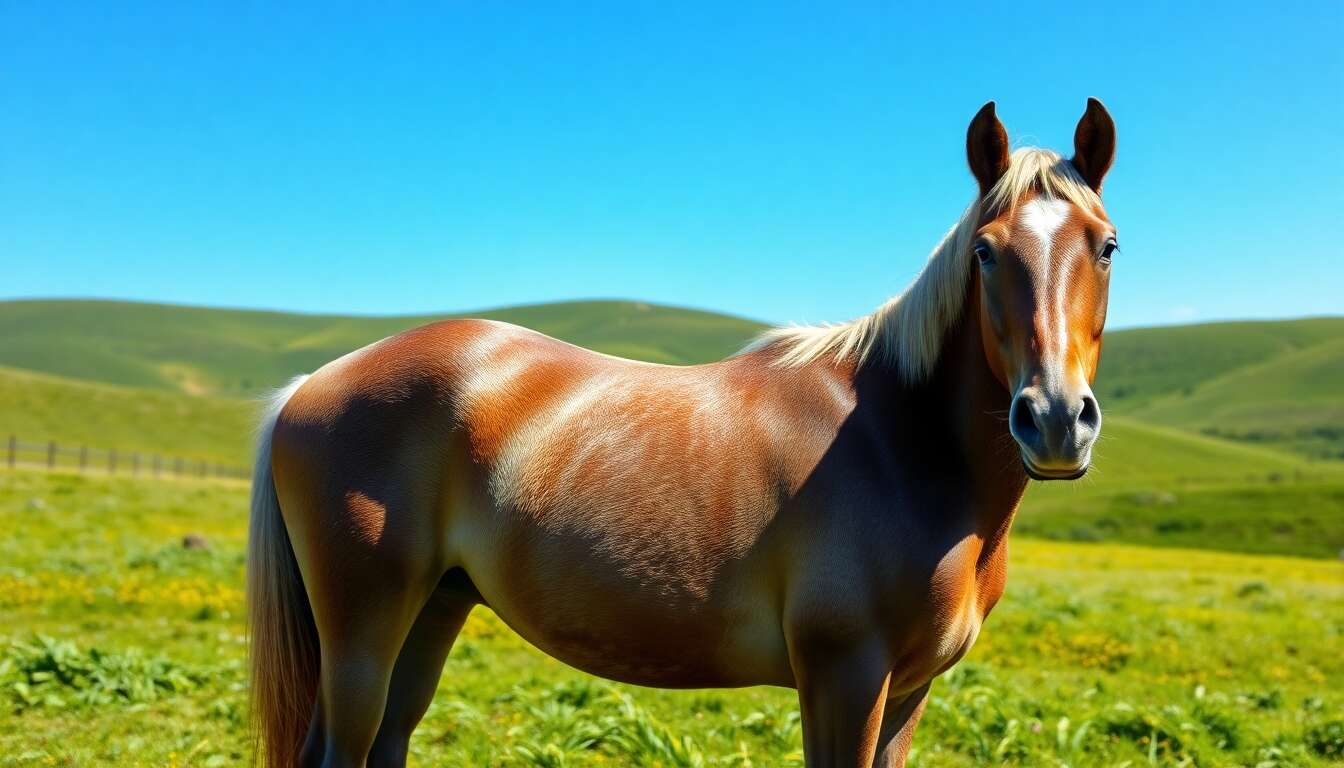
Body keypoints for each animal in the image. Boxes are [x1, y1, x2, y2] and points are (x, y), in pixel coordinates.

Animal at [248, 99, 1117, 767]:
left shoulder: (908, 690)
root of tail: (308, 386)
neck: (898, 446)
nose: (1054, 420)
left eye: (1106, 247)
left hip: (434, 610)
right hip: (363, 631)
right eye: (985, 252)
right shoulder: (843, 678)